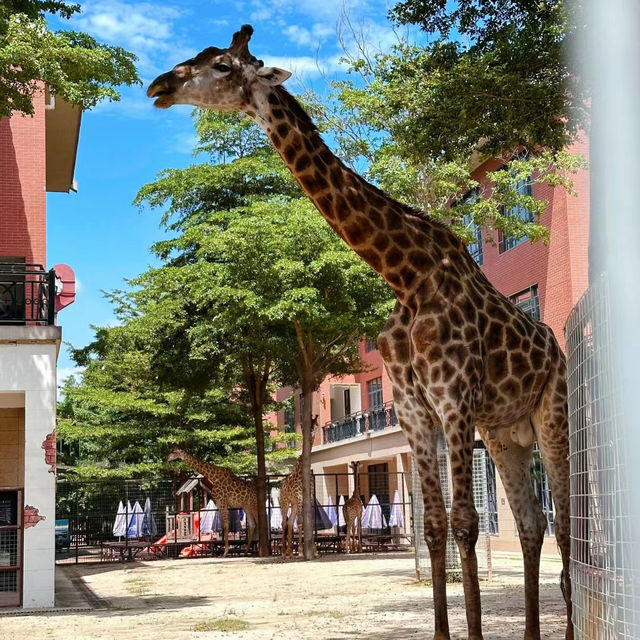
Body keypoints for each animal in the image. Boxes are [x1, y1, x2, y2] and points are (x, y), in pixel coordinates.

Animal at [150, 26, 576, 640]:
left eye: (225, 66)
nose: (160, 85)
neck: (407, 273)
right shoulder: (417, 409)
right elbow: (435, 525)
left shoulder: (453, 399)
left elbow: (466, 522)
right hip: (504, 433)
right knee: (531, 524)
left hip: (551, 413)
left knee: (564, 522)